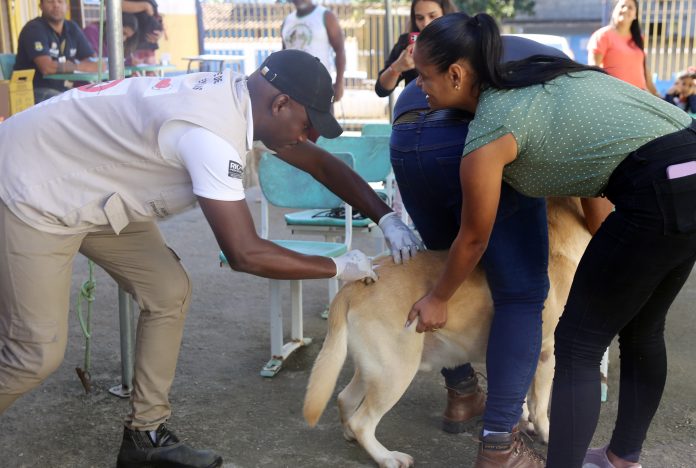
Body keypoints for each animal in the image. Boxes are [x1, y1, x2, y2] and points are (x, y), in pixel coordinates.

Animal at [302, 197, 588, 468]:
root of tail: (353, 286)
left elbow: (524, 397)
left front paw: (524, 419)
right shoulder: (546, 353)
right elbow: (540, 404)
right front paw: (547, 433)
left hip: (374, 368)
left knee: (345, 399)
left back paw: (351, 436)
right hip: (395, 372)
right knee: (363, 421)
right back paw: (387, 457)